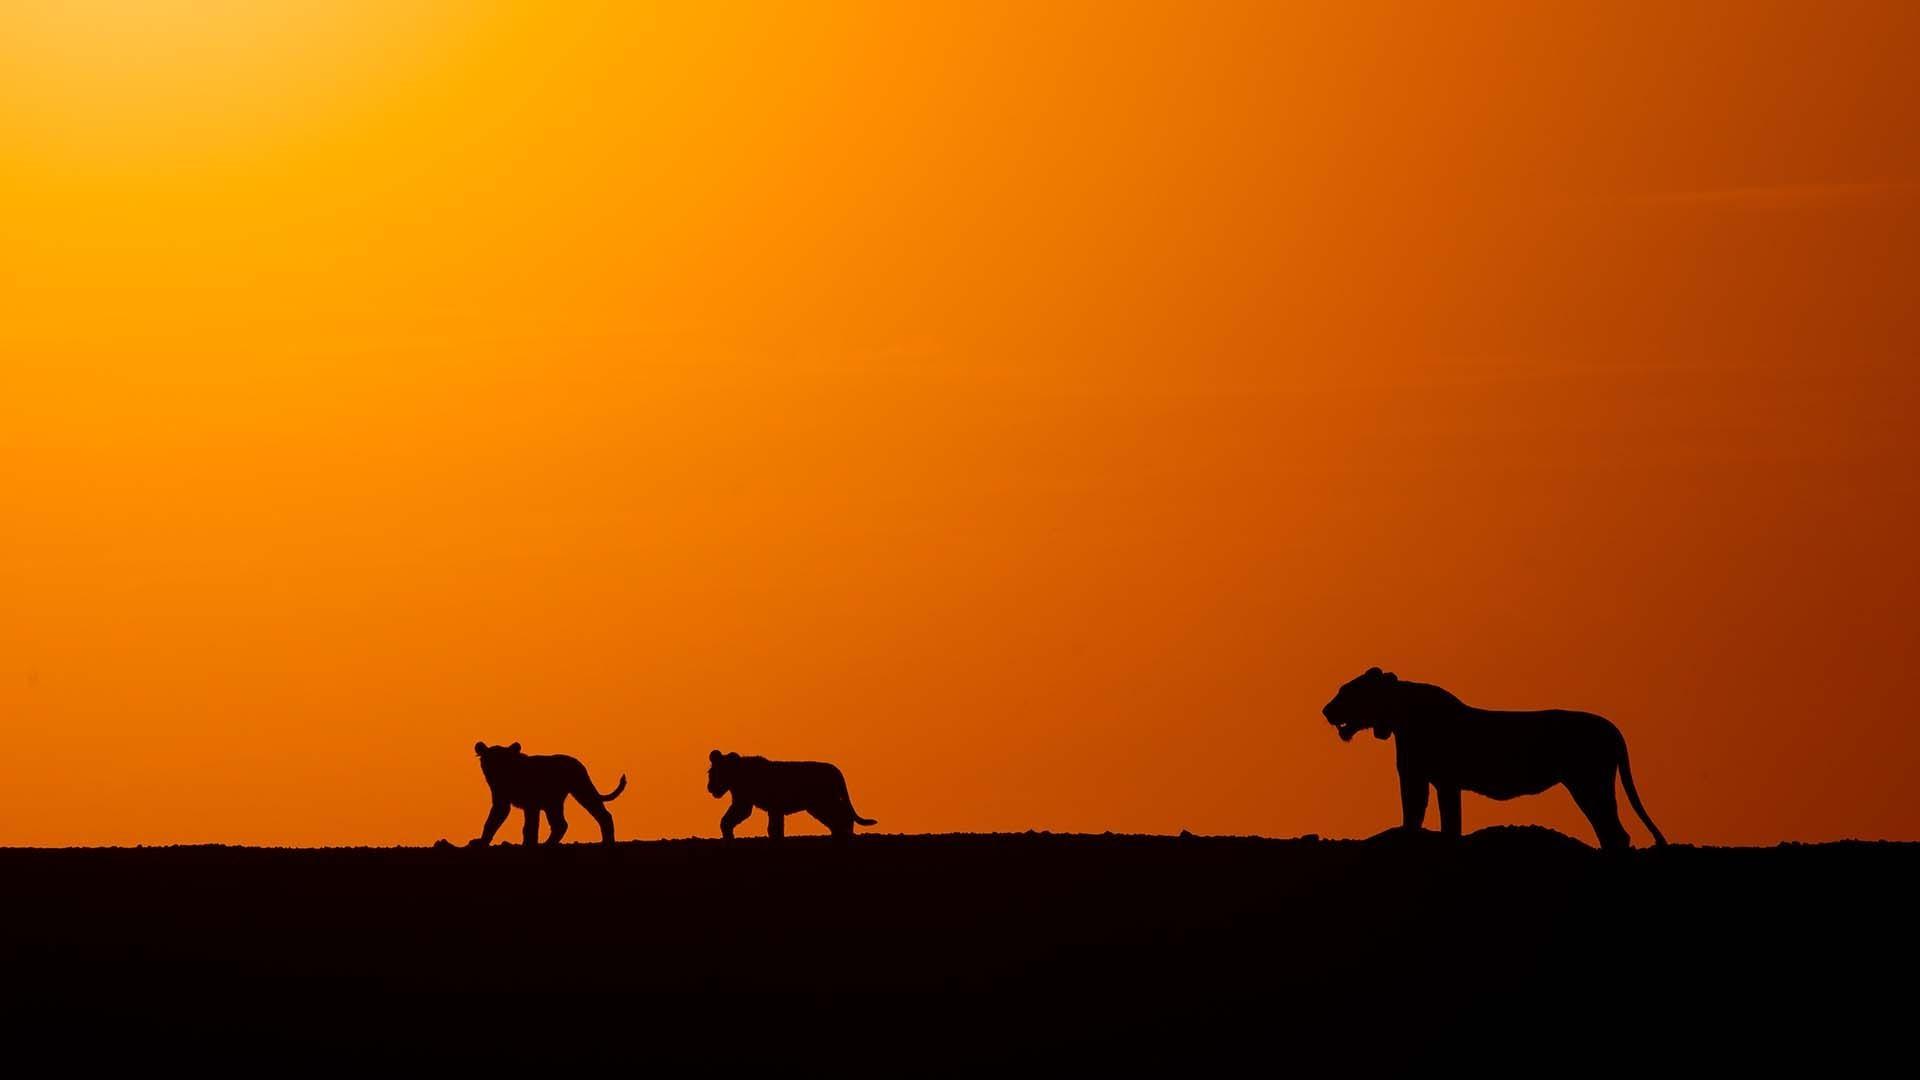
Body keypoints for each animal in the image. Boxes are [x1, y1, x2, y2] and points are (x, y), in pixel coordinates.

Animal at [469, 741, 627, 846]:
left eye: (504, 761)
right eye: (491, 761)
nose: (497, 773)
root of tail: (577, 763)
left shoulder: (531, 803)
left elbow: (529, 827)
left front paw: (528, 844)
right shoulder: (503, 801)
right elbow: (492, 822)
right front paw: (482, 841)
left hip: (581, 790)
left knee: (603, 815)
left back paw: (608, 842)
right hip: (553, 803)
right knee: (561, 824)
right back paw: (548, 843)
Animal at [706, 750, 877, 840]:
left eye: (717, 772)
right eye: (710, 772)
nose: (709, 788)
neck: (737, 774)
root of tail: (835, 770)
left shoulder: (744, 804)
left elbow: (727, 819)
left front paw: (727, 834)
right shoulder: (773, 809)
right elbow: (774, 827)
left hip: (822, 803)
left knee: (842, 815)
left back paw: (844, 835)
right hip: (822, 804)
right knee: (842, 815)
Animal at [1322, 668, 1667, 850]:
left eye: (1348, 691)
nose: (1326, 710)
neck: (1398, 716)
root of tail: (1612, 728)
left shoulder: (1445, 781)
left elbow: (1449, 823)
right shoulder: (1416, 778)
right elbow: (1413, 817)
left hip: (1588, 783)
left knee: (1615, 832)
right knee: (1609, 831)